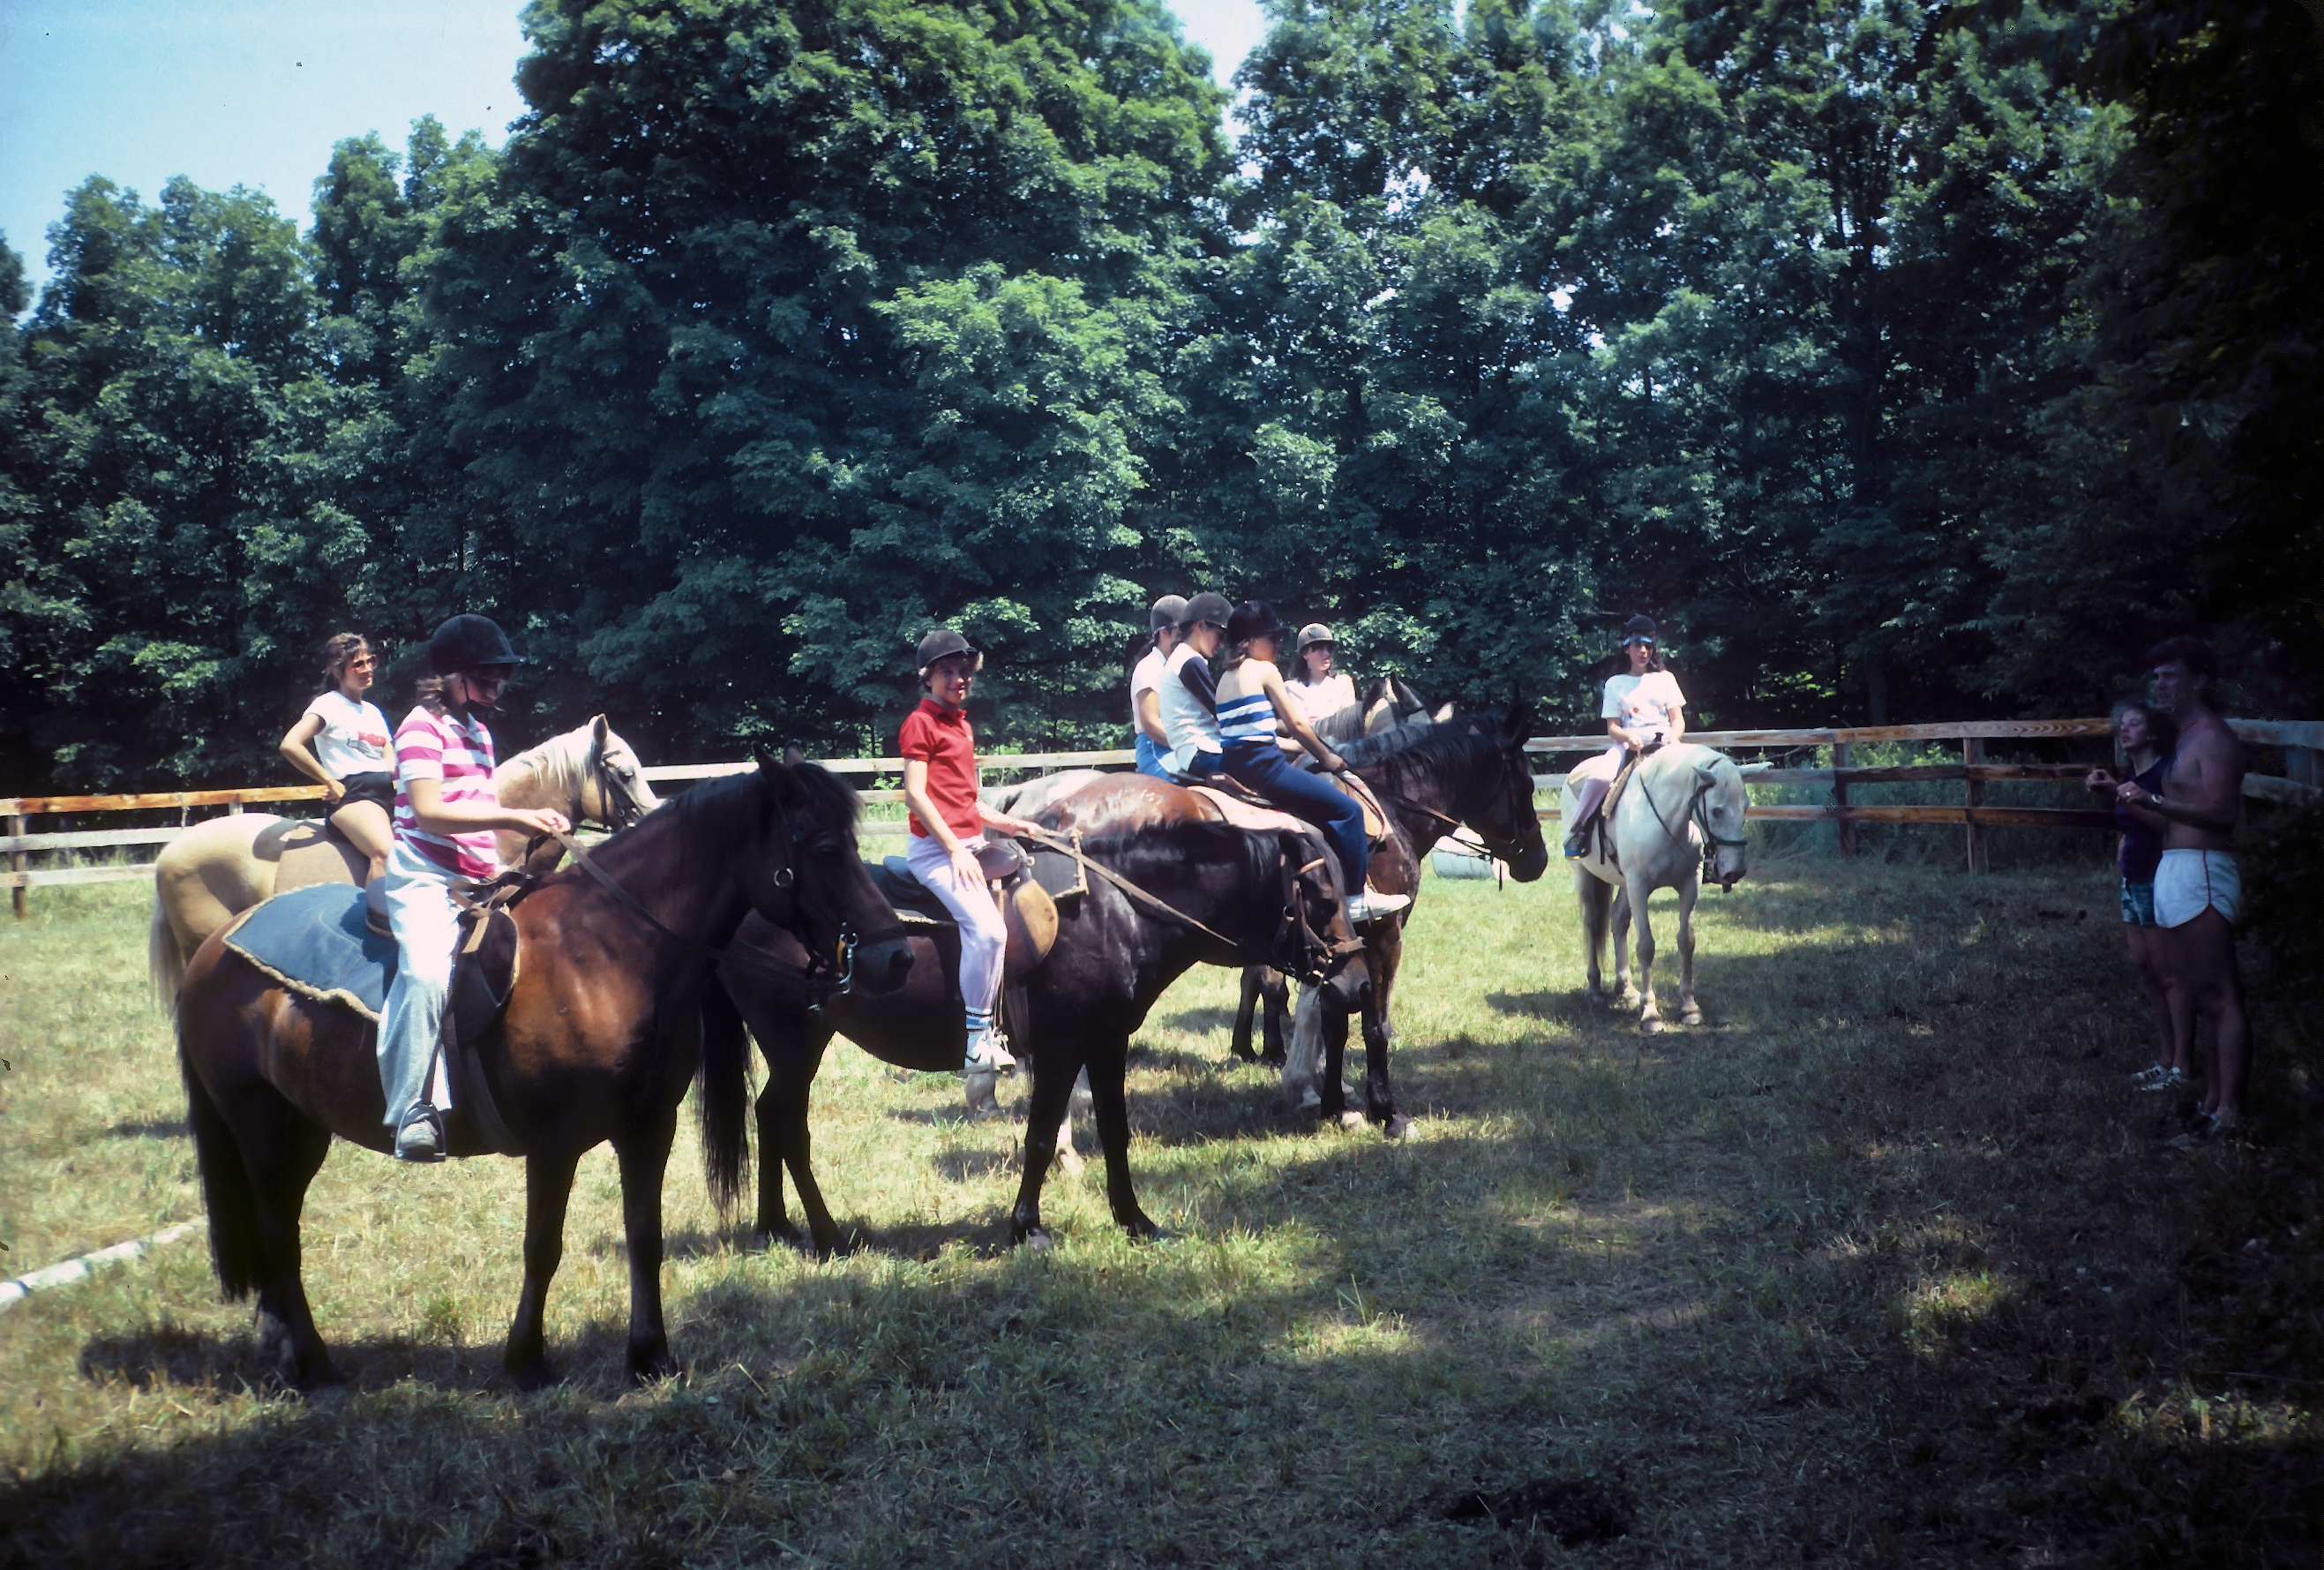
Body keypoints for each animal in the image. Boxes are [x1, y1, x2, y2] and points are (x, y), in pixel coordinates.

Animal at [172, 757, 912, 1391]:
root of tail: (212, 951)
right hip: (260, 1123)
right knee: (276, 1229)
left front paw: (649, 1355)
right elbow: (542, 1246)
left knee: (279, 1226)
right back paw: (310, 1361)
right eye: (824, 846)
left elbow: (645, 1236)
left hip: (301, 1127)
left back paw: (279, 1344)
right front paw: (525, 1358)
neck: (603, 953)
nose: (898, 957)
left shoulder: (649, 1127)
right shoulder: (553, 1144)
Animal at [705, 799, 1373, 1255]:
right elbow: (1042, 1137)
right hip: (796, 1042)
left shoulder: (1106, 1042)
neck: (1118, 910)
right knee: (789, 1125)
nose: (1360, 984)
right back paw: (825, 1234)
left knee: (767, 1115)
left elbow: (1113, 1131)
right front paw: (1027, 1227)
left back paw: (775, 1225)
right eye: (1320, 897)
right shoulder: (1060, 1048)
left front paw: (1135, 1221)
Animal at [1561, 742, 1752, 1032]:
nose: (1735, 871)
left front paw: (1689, 1008)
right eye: (1716, 811)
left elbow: (1686, 941)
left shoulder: (1688, 885)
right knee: (1591, 921)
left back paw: (1626, 990)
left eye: (1746, 808)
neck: (1666, 821)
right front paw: (1650, 1014)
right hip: (1584, 874)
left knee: (1618, 921)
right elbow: (1646, 947)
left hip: (1624, 884)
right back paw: (1595, 989)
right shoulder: (1639, 887)